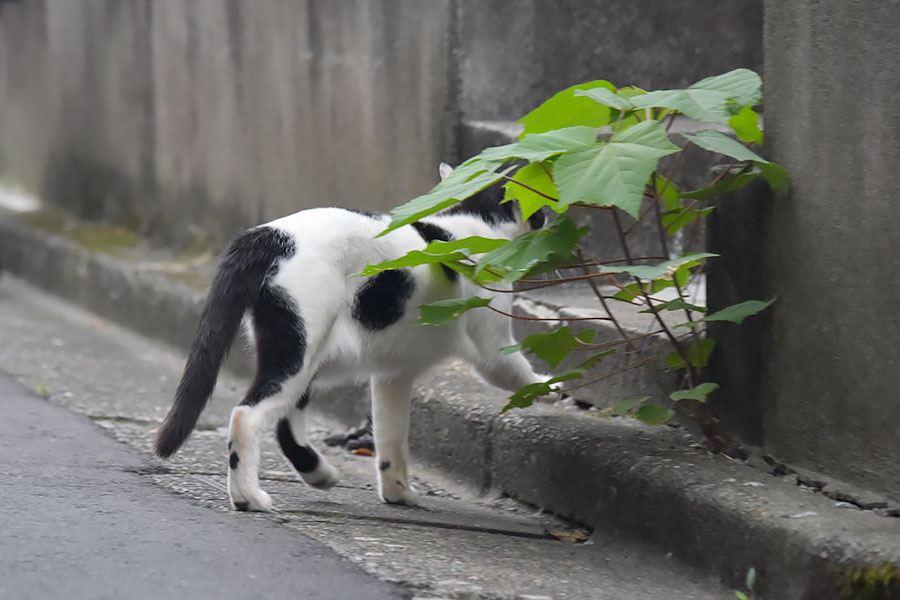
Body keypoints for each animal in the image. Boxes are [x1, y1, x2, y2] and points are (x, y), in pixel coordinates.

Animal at [156, 164, 548, 510]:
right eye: (541, 209)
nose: (548, 218)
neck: (474, 222)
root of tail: (270, 233)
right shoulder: (492, 339)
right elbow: (513, 371)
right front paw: (552, 387)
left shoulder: (394, 375)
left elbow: (391, 435)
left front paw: (397, 491)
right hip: (300, 348)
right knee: (247, 415)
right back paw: (249, 497)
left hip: (306, 351)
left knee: (286, 420)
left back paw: (319, 475)